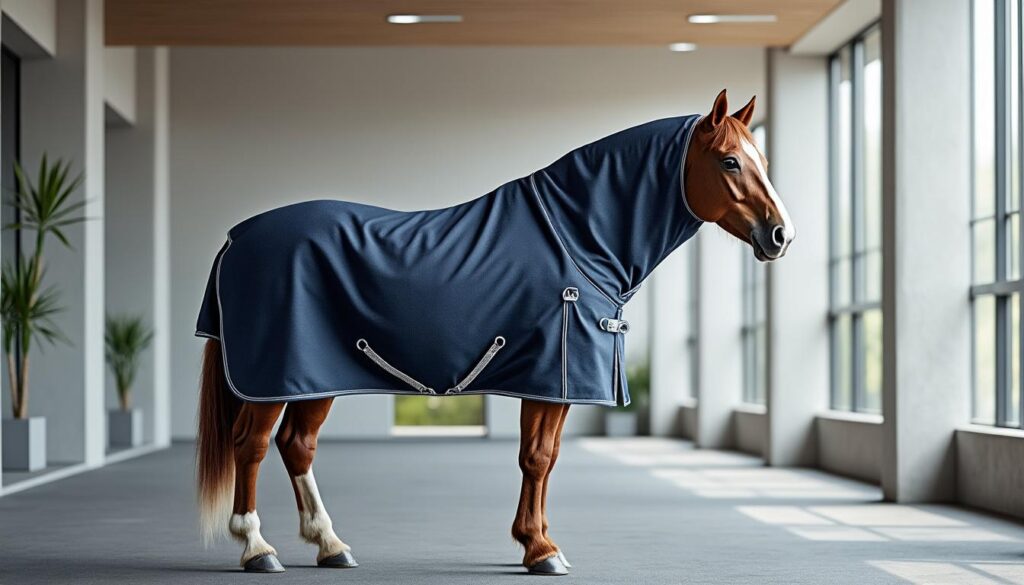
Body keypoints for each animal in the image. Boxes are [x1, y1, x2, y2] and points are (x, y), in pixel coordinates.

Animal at [194, 89, 794, 575]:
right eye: (731, 160)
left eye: (762, 160)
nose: (781, 235)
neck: (574, 237)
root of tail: (235, 238)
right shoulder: (550, 377)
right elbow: (537, 458)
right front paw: (541, 551)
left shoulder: (554, 382)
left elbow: (545, 457)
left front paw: (538, 543)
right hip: (276, 378)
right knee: (251, 445)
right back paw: (257, 549)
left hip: (315, 377)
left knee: (298, 446)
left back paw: (331, 546)